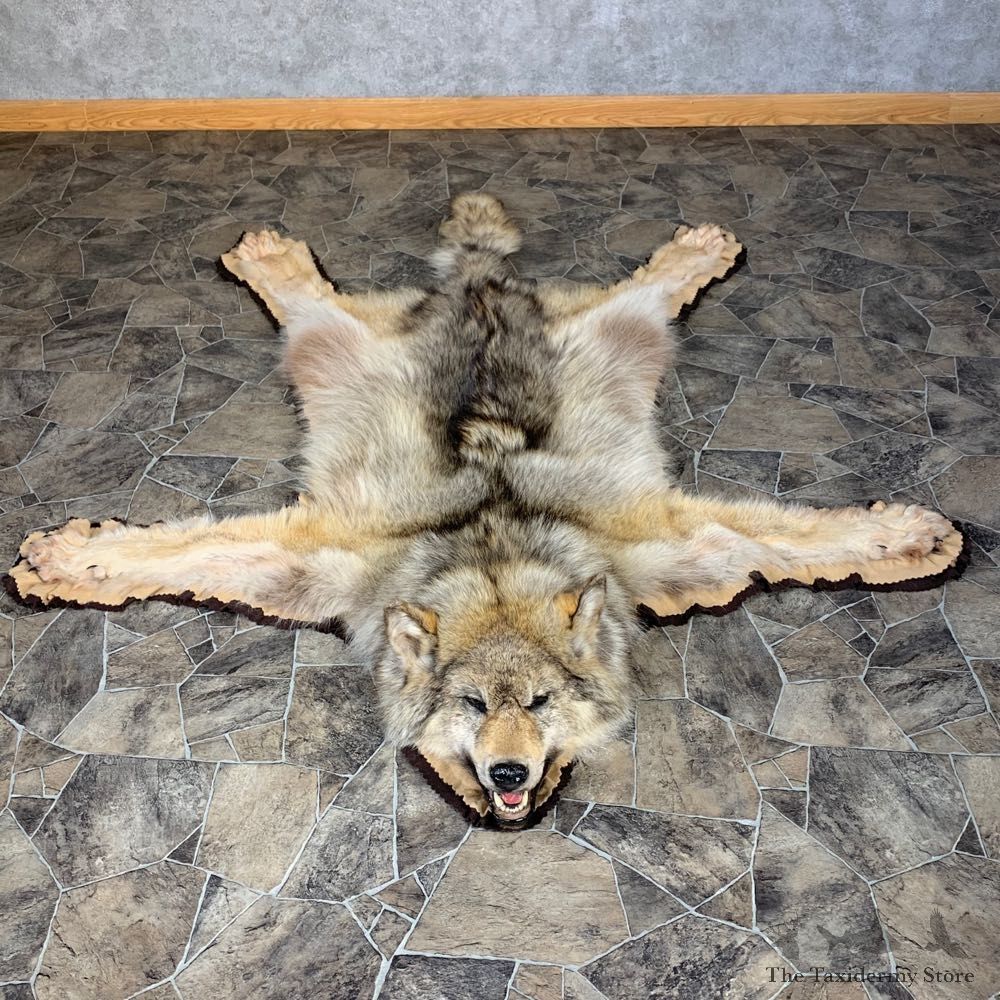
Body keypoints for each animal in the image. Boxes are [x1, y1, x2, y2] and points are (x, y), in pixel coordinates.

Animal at [8, 193, 962, 826]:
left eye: (538, 705)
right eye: (471, 706)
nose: (507, 775)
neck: (492, 545)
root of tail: (479, 289)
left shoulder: (674, 550)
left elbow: (805, 537)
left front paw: (912, 537)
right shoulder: (315, 563)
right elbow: (178, 553)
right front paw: (68, 560)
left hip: (623, 332)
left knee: (652, 283)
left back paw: (699, 247)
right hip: (333, 346)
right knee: (309, 295)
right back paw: (268, 257)